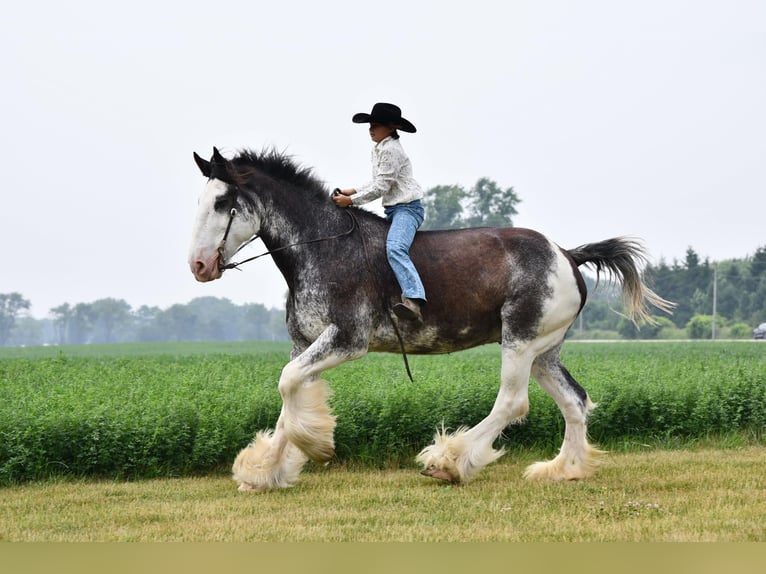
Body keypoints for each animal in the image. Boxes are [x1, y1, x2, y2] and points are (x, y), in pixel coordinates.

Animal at [189, 146, 676, 492]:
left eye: (223, 203)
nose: (198, 266)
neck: (322, 248)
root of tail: (568, 255)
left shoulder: (346, 340)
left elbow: (288, 386)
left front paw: (316, 447)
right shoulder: (305, 343)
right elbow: (288, 399)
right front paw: (265, 471)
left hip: (520, 340)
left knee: (512, 402)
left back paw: (450, 462)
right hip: (544, 350)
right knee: (574, 400)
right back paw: (564, 470)